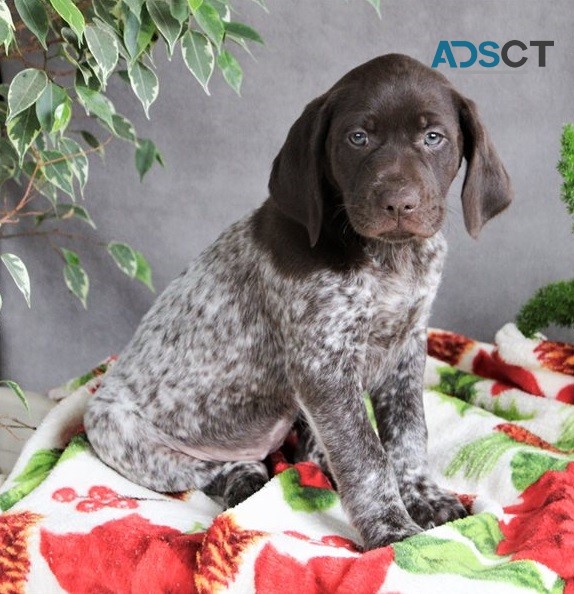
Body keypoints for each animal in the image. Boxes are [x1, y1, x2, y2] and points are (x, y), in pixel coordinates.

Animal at [84, 53, 512, 548]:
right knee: (202, 469)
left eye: (433, 137)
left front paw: (423, 496)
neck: (389, 259)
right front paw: (390, 528)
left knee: (309, 449)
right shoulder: (322, 366)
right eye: (358, 138)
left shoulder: (406, 349)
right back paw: (242, 475)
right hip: (115, 429)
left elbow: (408, 435)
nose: (398, 204)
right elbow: (366, 455)